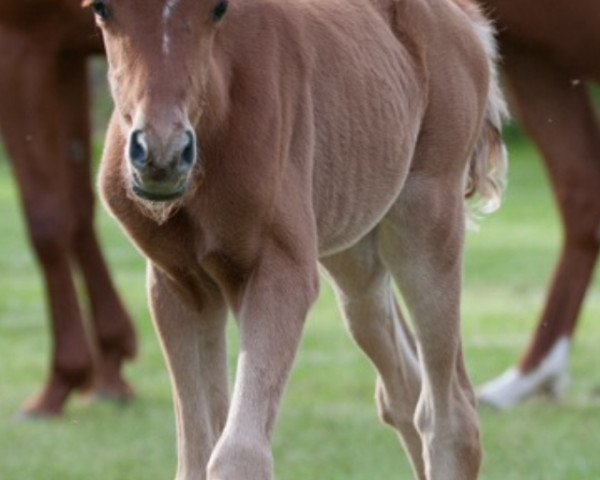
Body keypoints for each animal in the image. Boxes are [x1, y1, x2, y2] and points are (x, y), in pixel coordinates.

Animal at [0, 1, 137, 416]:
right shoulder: (66, 55)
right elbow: (77, 206)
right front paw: (110, 366)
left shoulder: (20, 44)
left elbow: (46, 219)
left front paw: (63, 379)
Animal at [94, 0, 506, 476]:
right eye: (101, 8)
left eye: (218, 8)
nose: (162, 153)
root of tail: (467, 18)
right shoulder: (180, 284)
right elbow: (197, 456)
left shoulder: (281, 272)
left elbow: (238, 454)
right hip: (355, 249)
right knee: (403, 386)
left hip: (425, 219)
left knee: (451, 416)